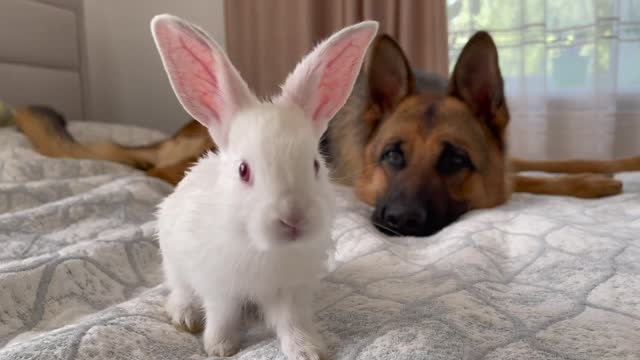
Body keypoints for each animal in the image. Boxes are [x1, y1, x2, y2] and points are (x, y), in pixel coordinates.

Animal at [11, 32, 640, 238]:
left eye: (455, 160)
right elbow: (530, 178)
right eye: (392, 155)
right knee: (160, 170)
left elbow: (558, 160)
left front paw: (614, 166)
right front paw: (600, 185)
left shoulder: (511, 156)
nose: (396, 223)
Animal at [152, 14, 378, 360]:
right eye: (243, 170)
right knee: (179, 289)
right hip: (173, 261)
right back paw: (185, 315)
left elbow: (292, 322)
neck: (266, 249)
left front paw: (308, 350)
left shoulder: (291, 291)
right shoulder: (220, 288)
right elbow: (222, 316)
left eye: (316, 165)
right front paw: (220, 347)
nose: (293, 219)